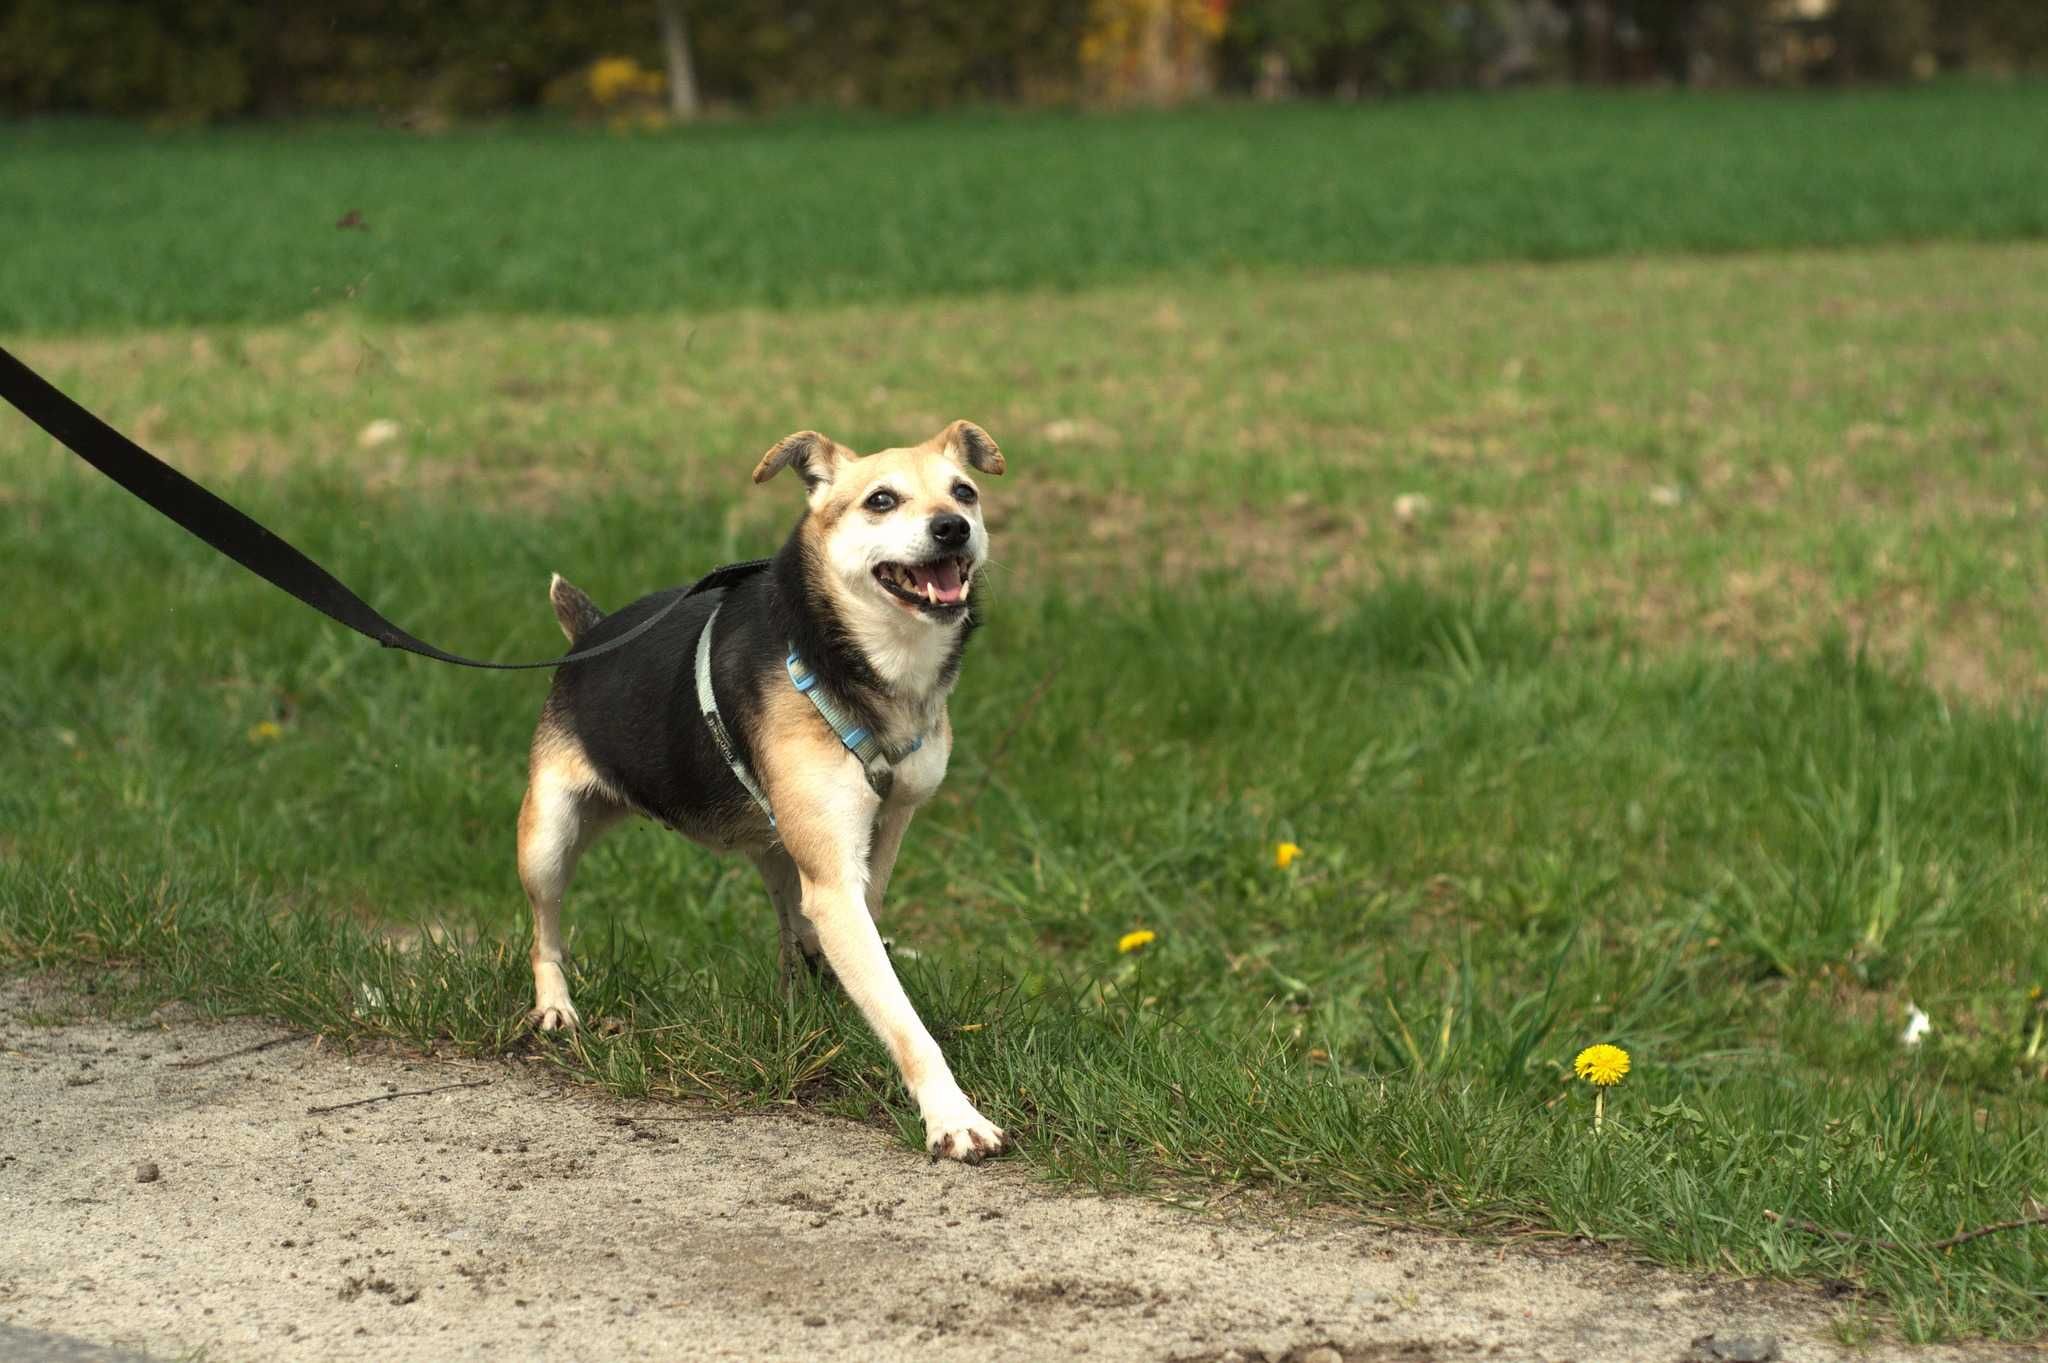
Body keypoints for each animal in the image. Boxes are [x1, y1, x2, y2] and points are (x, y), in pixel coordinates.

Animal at [516, 417, 1011, 1154]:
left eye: (965, 492)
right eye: (882, 500)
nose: (952, 527)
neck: (857, 661)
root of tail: (590, 636)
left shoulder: (880, 836)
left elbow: (859, 948)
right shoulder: (834, 885)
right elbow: (902, 1016)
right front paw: (952, 1116)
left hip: (778, 847)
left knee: (789, 926)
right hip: (549, 833)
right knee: (545, 924)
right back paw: (555, 1008)